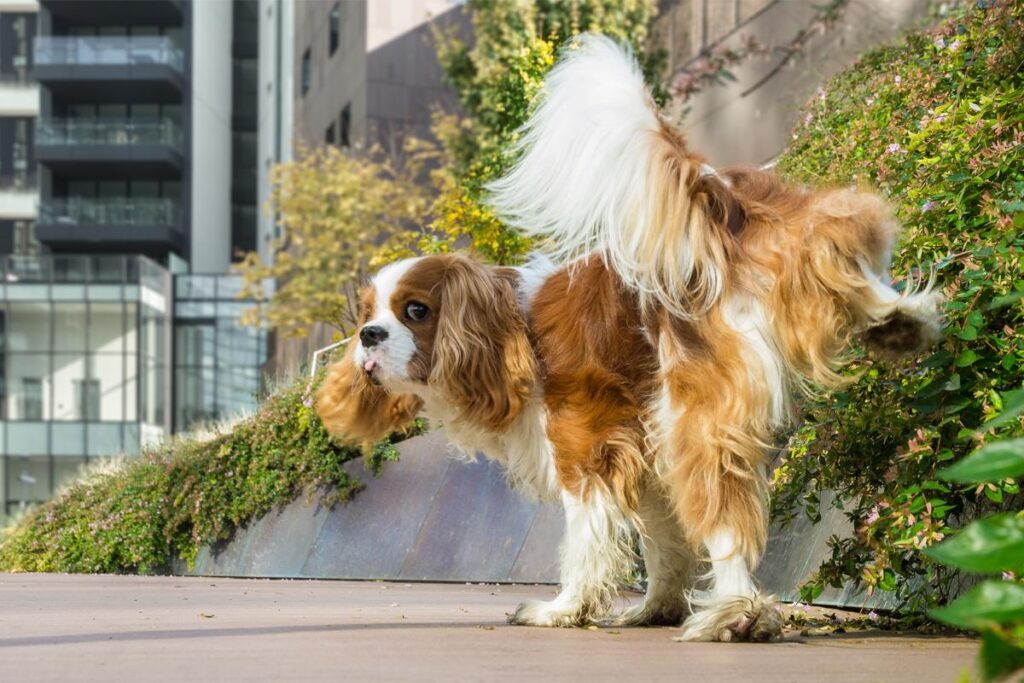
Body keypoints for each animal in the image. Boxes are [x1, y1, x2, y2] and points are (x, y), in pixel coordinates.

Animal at [313, 34, 942, 643]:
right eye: (367, 313)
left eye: (415, 311)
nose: (368, 335)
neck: (511, 332)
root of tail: (714, 200)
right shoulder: (645, 456)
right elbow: (664, 543)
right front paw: (657, 607)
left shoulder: (584, 447)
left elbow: (586, 542)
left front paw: (564, 610)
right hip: (789, 251)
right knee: (840, 240)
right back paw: (900, 322)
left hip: (694, 414)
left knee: (724, 520)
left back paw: (737, 614)